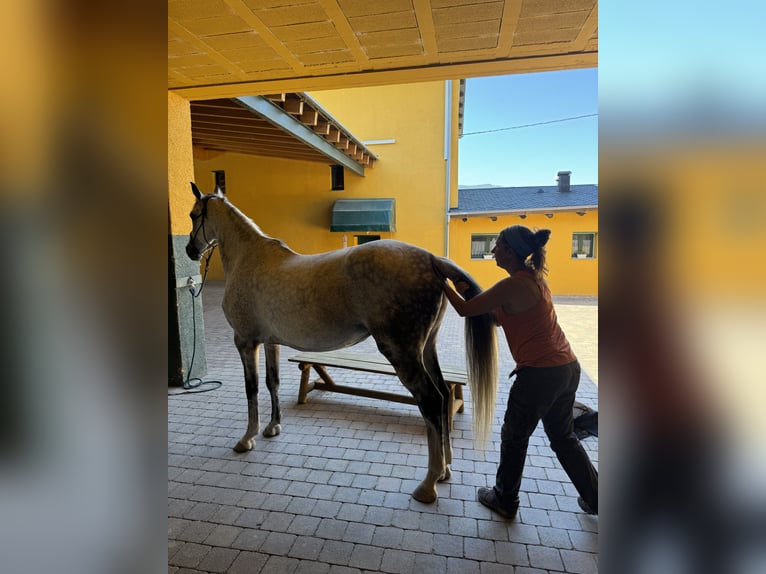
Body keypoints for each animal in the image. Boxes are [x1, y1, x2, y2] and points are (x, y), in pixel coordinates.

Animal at [185, 184, 498, 504]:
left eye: (193, 214)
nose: (189, 250)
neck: (249, 258)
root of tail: (432, 260)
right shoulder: (271, 342)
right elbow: (273, 383)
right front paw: (273, 427)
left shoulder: (245, 341)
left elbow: (252, 389)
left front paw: (247, 438)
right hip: (426, 349)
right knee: (444, 396)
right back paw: (446, 470)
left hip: (404, 355)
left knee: (432, 401)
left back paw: (428, 484)